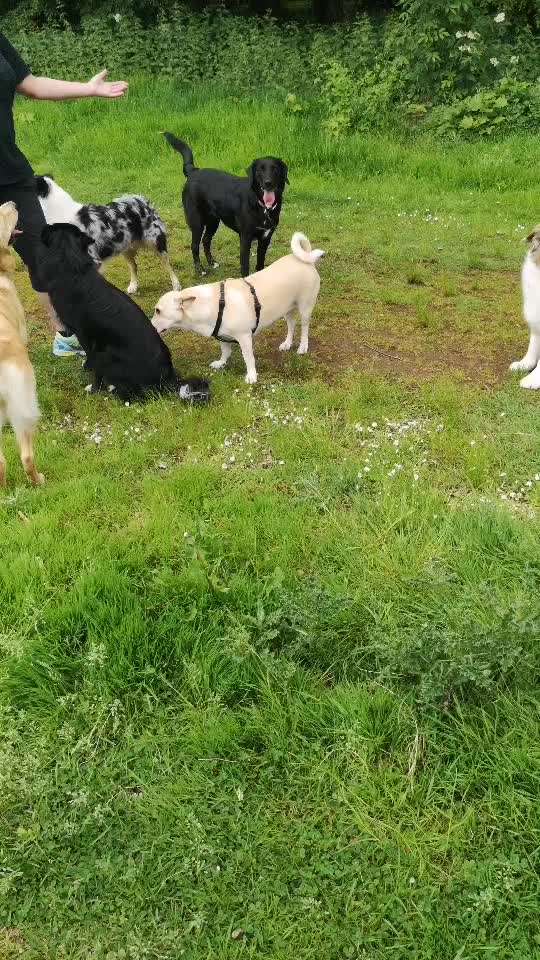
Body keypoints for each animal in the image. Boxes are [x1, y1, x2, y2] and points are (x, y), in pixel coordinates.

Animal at [34, 174, 180, 295]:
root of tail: (140, 199)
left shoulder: (93, 262)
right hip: (125, 248)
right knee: (134, 266)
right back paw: (133, 285)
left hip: (156, 242)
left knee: (168, 265)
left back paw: (176, 285)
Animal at [39, 222, 209, 404]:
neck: (73, 266)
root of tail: (169, 377)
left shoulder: (86, 336)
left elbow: (94, 364)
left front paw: (93, 387)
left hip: (110, 355)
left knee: (135, 395)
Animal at [151, 232, 324, 384]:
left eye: (158, 311)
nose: (151, 326)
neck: (212, 303)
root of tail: (306, 259)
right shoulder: (222, 336)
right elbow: (225, 352)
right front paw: (221, 363)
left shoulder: (245, 337)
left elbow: (248, 358)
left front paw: (252, 375)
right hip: (287, 309)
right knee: (291, 325)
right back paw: (287, 343)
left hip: (305, 308)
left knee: (304, 328)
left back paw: (303, 347)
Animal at [164, 133, 289, 277]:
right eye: (259, 170)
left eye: (275, 169)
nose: (268, 183)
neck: (262, 207)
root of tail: (193, 171)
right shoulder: (245, 238)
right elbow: (245, 266)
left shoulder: (265, 238)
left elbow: (260, 265)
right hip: (197, 222)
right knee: (194, 245)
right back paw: (200, 269)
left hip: (213, 221)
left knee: (206, 240)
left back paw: (212, 262)